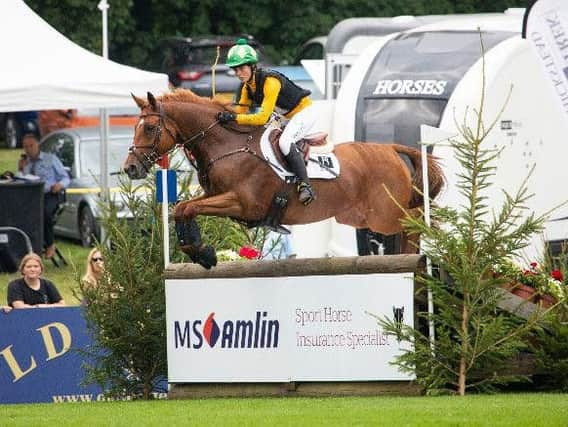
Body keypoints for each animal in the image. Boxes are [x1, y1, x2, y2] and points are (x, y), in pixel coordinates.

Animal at [123, 90, 444, 270]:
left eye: (149, 128)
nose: (130, 168)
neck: (225, 144)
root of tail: (390, 148)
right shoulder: (215, 197)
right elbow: (182, 207)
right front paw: (201, 254)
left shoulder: (244, 204)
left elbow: (188, 208)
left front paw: (204, 253)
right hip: (361, 216)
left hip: (384, 215)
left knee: (414, 222)